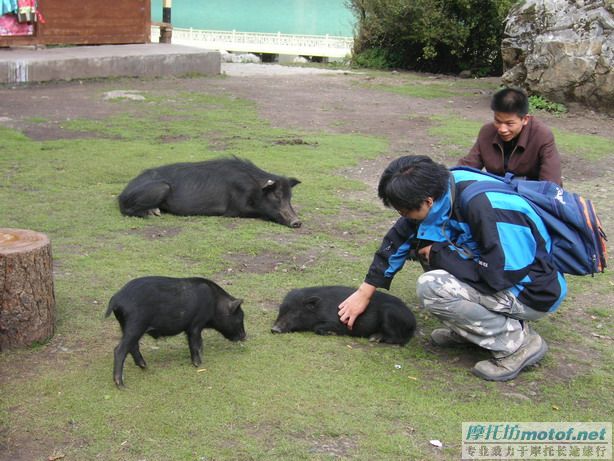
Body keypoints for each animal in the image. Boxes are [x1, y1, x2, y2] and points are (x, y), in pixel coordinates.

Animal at [107, 274, 247, 386]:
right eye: (240, 318)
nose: (245, 336)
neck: (215, 304)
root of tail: (116, 299)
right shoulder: (195, 325)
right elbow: (196, 343)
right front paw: (199, 364)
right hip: (135, 325)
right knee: (119, 350)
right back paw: (121, 384)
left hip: (126, 327)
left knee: (133, 347)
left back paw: (145, 367)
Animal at [272, 284, 416, 344]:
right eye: (280, 309)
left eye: (295, 312)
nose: (274, 329)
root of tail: (413, 323)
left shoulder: (339, 321)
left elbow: (318, 327)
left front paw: (331, 333)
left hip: (389, 314)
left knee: (400, 339)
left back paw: (374, 338)